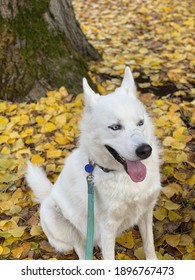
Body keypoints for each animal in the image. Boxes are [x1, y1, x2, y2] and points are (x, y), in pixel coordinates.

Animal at [25, 68, 161, 260]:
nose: (145, 150)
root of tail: (48, 194)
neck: (121, 176)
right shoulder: (107, 227)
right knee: (80, 247)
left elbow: (149, 246)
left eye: (140, 123)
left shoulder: (146, 212)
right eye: (115, 127)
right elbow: (109, 258)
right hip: (55, 215)